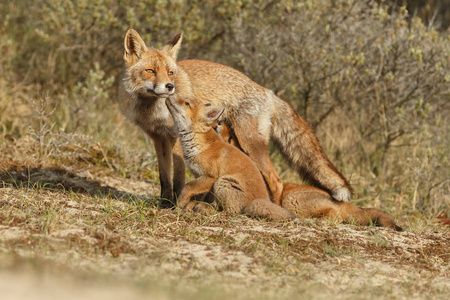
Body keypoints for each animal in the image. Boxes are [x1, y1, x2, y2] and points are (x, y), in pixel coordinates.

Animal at [118, 29, 354, 205]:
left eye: (170, 73)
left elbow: (178, 178)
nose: (170, 87)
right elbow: (164, 178)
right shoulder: (158, 139)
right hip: (237, 143)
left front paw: (174, 204)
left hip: (250, 142)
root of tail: (267, 91)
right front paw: (164, 203)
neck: (152, 110)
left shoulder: (175, 138)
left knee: (276, 180)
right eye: (150, 71)